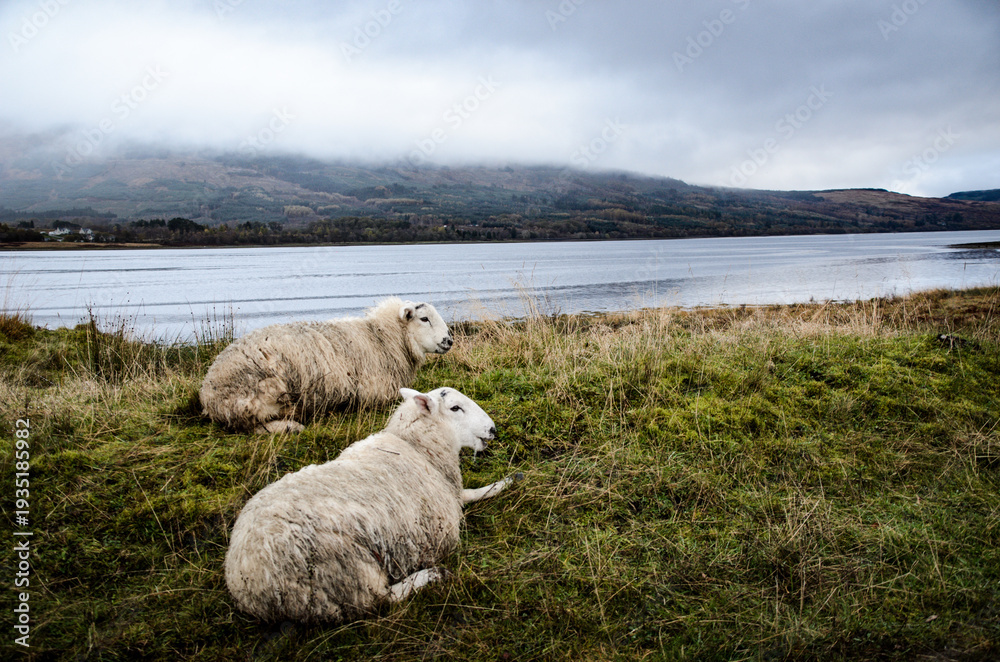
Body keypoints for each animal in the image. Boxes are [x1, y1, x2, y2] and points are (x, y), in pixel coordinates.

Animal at [199, 298, 453, 433]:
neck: (380, 337)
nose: (449, 341)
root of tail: (207, 394)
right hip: (260, 395)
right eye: (424, 319)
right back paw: (291, 425)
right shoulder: (375, 394)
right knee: (254, 426)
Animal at [224, 387, 515, 623]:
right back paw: (432, 575)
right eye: (455, 408)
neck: (418, 449)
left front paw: (508, 480)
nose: (493, 429)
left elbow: (472, 493)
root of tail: (242, 580)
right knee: (381, 600)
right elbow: (469, 496)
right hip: (347, 570)